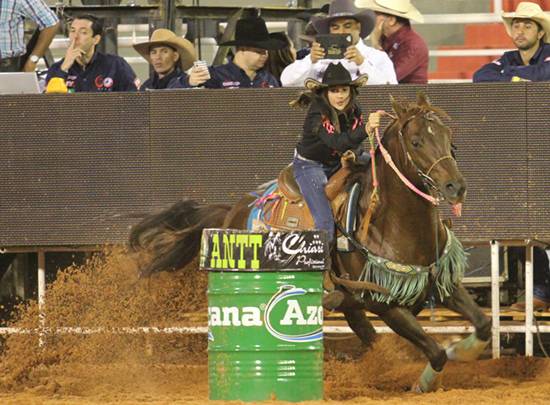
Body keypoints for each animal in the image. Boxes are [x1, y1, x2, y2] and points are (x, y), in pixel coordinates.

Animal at [129, 93, 491, 392]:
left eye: (448, 139)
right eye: (416, 141)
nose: (455, 186)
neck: (392, 221)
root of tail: (234, 208)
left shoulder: (441, 282)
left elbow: (484, 324)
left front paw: (463, 349)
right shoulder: (386, 304)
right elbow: (435, 351)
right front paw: (426, 381)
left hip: (351, 301)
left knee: (365, 331)